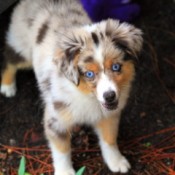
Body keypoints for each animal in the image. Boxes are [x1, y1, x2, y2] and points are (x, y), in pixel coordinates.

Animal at [0, 0, 142, 174]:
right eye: (89, 74)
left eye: (116, 67)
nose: (110, 96)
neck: (87, 97)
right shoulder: (55, 120)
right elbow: (62, 150)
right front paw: (65, 171)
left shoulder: (109, 115)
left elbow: (109, 139)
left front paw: (116, 161)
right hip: (22, 48)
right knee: (9, 59)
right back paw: (7, 86)